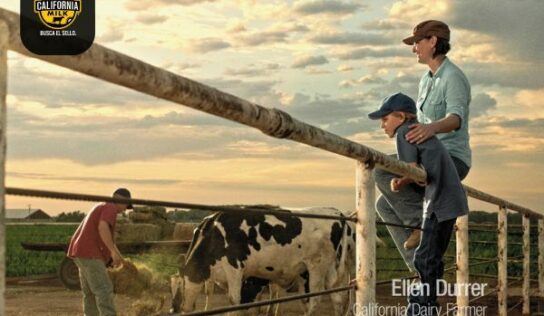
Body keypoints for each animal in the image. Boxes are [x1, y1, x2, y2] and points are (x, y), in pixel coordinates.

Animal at [170, 206, 356, 314]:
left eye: (180, 284)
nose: (173, 308)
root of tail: (336, 213)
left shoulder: (234, 268)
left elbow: (234, 301)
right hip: (331, 267)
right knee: (337, 298)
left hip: (317, 266)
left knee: (316, 299)